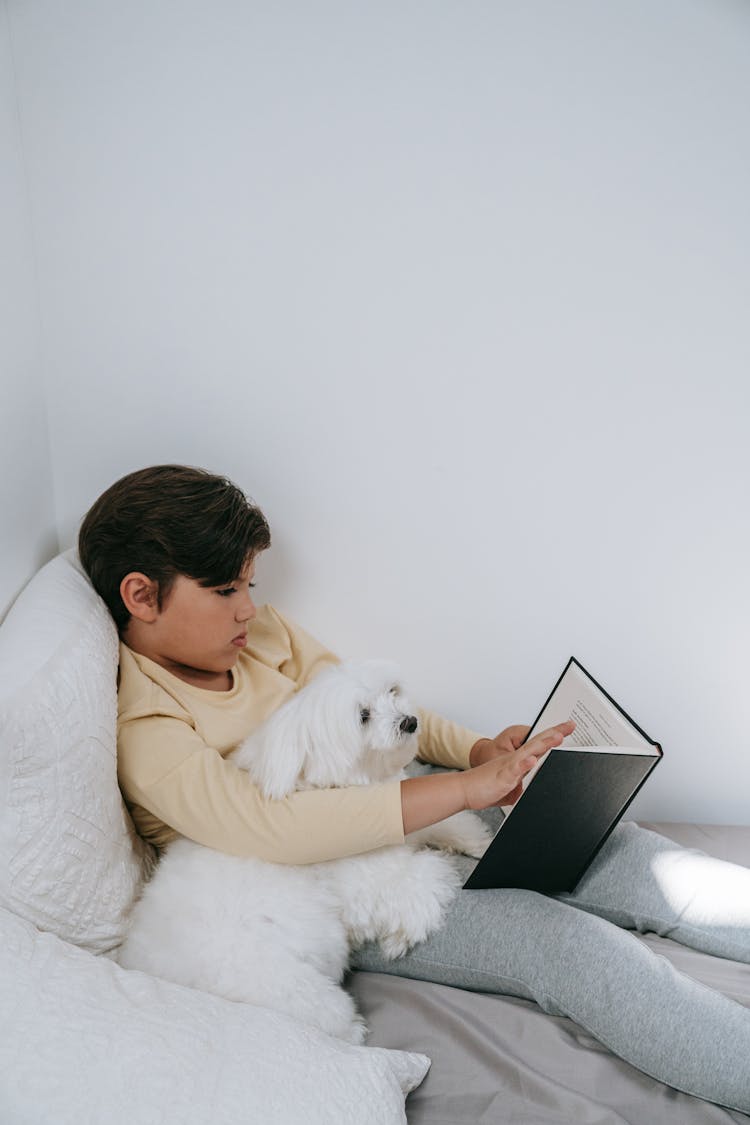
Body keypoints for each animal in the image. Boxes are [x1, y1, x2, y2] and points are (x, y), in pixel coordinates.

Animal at [117, 661, 492, 1039]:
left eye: (392, 691)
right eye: (363, 716)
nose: (410, 721)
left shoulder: (402, 813)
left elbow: (446, 821)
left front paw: (480, 840)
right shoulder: (369, 883)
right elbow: (425, 881)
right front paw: (400, 937)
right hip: (288, 986)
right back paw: (352, 1030)